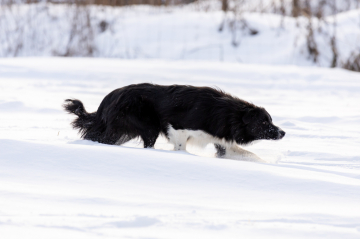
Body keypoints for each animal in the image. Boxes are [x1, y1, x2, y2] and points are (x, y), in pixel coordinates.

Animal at [63, 83, 286, 160]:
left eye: (270, 120)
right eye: (264, 123)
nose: (283, 132)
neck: (228, 113)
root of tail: (108, 99)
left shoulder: (222, 141)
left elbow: (251, 156)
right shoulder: (178, 127)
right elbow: (181, 148)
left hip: (126, 131)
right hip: (147, 126)